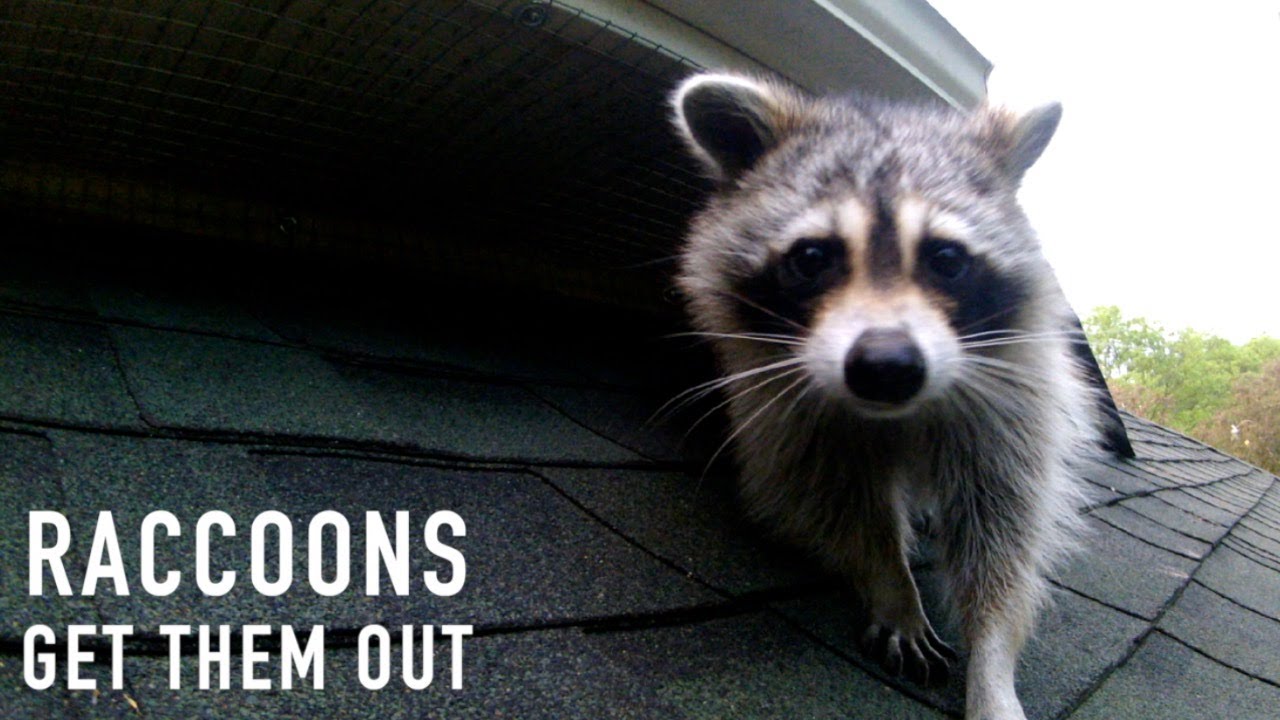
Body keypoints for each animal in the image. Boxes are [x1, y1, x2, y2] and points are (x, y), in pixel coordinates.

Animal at [671, 73, 1097, 720]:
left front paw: (993, 659)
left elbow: (1003, 527)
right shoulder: (783, 407)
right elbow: (824, 497)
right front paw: (891, 583)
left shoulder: (1009, 401)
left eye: (946, 258)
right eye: (811, 257)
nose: (886, 367)